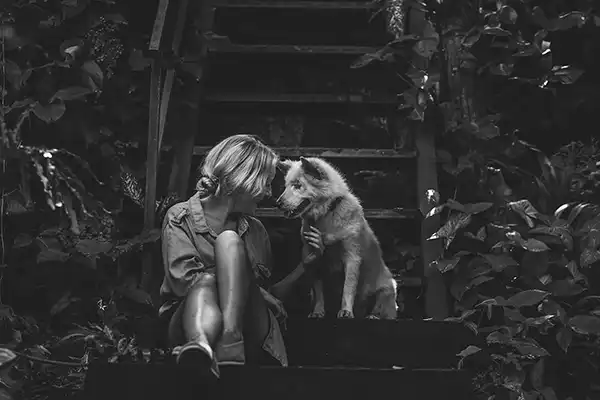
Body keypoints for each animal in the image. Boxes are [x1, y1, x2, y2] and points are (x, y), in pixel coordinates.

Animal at [276, 155, 398, 320]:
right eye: (286, 186)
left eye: (297, 185)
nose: (277, 204)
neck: (326, 213)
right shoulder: (313, 256)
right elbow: (318, 290)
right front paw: (318, 312)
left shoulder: (352, 257)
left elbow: (348, 287)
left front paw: (346, 311)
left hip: (387, 289)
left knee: (383, 310)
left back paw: (373, 316)